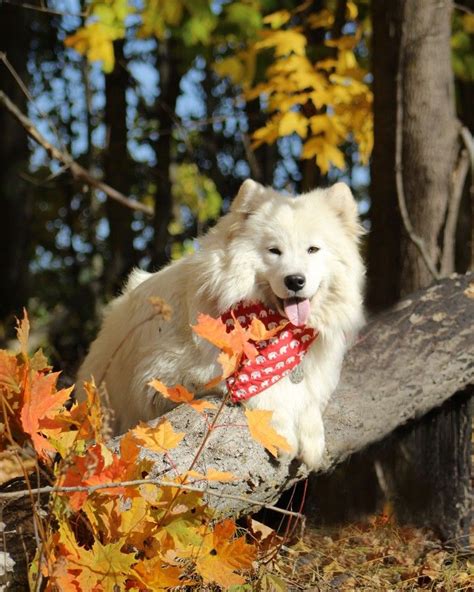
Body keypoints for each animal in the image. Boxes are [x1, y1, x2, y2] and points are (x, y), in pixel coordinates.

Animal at [78, 178, 366, 470]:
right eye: (274, 251)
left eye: (313, 249)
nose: (295, 280)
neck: (275, 330)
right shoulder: (161, 380)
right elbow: (260, 390)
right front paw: (283, 432)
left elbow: (307, 401)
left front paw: (312, 437)